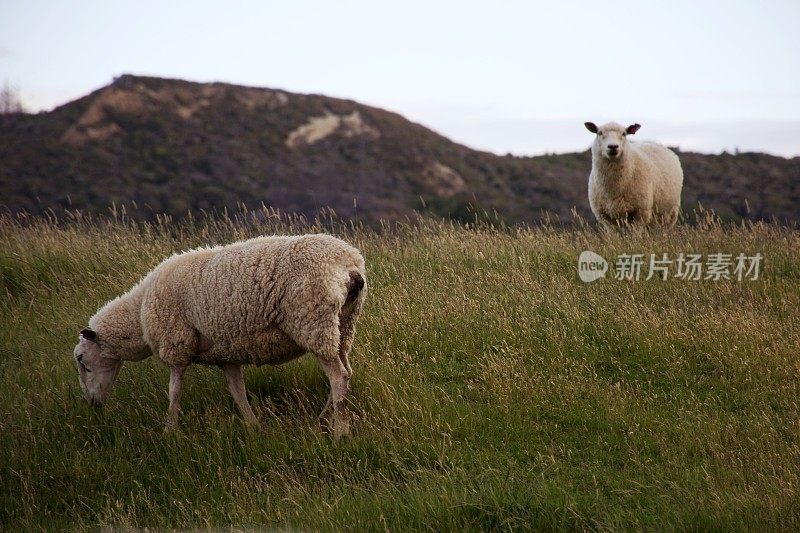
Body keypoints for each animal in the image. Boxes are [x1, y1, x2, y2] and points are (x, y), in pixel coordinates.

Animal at [72, 234, 366, 436]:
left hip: (315, 323)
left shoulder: (176, 344)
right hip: (343, 326)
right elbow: (238, 392)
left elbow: (174, 392)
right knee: (346, 373)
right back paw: (323, 420)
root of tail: (349, 265)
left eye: (82, 361)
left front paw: (169, 430)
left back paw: (340, 432)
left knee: (338, 378)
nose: (92, 404)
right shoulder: (227, 355)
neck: (139, 315)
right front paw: (253, 426)